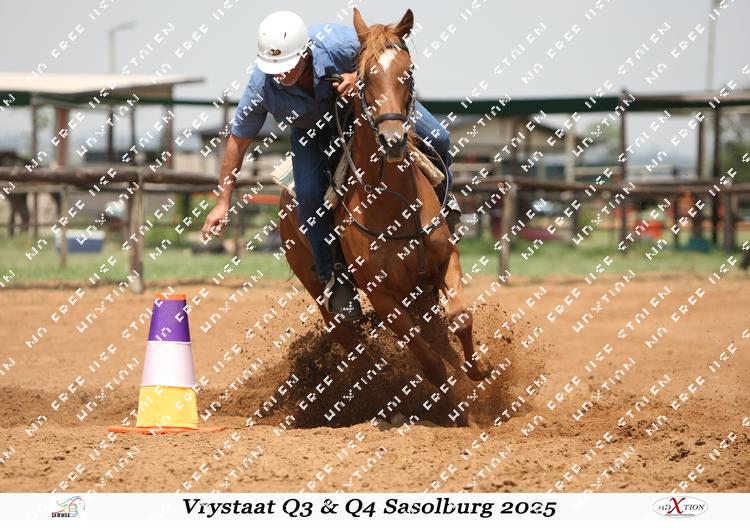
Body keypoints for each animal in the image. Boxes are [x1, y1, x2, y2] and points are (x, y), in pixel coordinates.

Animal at [279, 8, 491, 426]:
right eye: (363, 77)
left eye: (408, 73)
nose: (392, 140)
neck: (395, 207)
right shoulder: (383, 297)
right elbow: (429, 363)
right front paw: (456, 409)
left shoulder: (446, 261)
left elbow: (459, 317)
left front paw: (478, 371)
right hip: (326, 297)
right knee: (355, 345)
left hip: (419, 293)